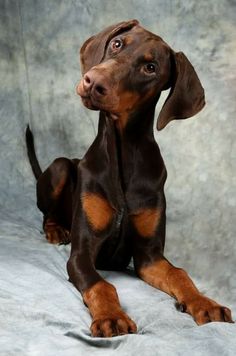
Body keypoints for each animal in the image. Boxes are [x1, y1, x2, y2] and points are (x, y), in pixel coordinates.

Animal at [26, 19, 233, 336]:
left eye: (150, 67)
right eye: (117, 44)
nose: (92, 81)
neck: (122, 153)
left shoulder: (149, 257)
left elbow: (180, 274)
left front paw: (203, 302)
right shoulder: (82, 253)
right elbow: (101, 285)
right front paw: (111, 316)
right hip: (61, 166)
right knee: (47, 211)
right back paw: (56, 230)